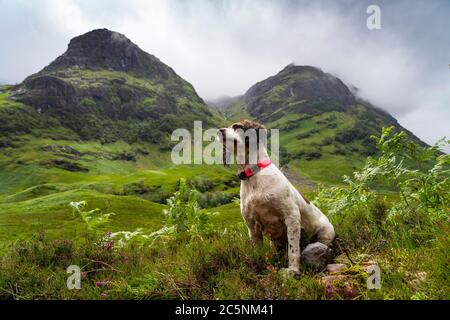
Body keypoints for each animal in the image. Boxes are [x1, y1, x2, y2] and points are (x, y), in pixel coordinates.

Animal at [218, 119, 334, 276]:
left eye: (237, 126)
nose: (219, 130)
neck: (253, 175)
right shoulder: (251, 226)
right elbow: (257, 251)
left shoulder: (291, 216)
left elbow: (293, 249)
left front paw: (293, 270)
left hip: (325, 233)